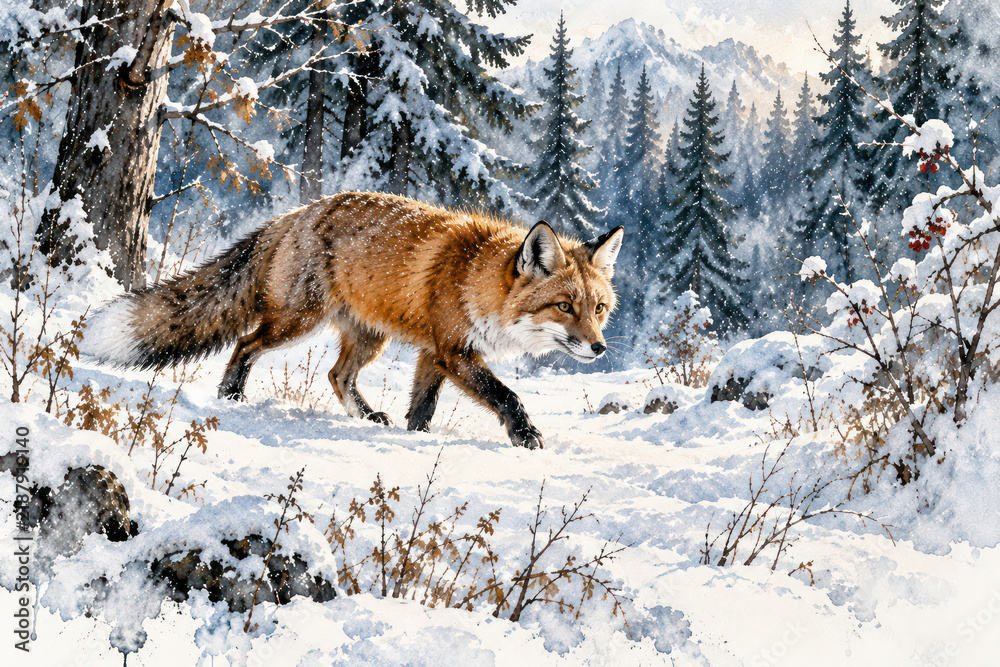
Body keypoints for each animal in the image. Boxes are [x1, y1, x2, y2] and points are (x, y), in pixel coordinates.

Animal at [85, 192, 624, 449]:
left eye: (598, 309)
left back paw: (366, 417)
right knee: (245, 344)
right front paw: (524, 435)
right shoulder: (454, 350)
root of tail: (296, 214)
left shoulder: (434, 353)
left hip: (369, 338)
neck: (477, 281)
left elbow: (422, 408)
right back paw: (231, 396)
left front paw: (415, 437)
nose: (598, 348)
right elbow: (505, 394)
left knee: (336, 374)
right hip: (297, 321)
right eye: (565, 306)